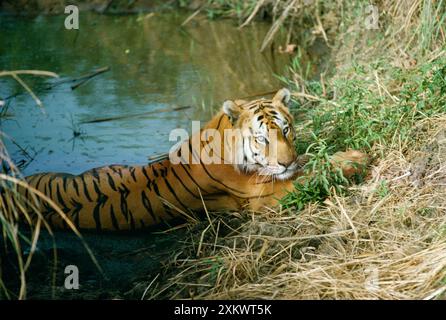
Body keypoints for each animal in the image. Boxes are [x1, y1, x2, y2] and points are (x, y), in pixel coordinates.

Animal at [15, 89, 368, 231]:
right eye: (261, 138)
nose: (285, 163)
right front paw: (354, 158)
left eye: (286, 130)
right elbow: (311, 174)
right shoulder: (261, 194)